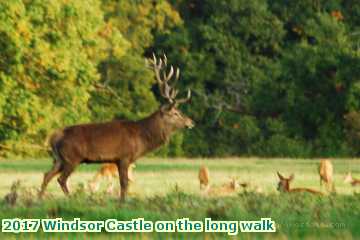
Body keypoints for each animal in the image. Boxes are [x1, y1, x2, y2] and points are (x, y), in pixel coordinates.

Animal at [39, 54, 194, 201]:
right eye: (175, 113)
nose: (191, 122)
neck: (142, 137)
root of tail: (54, 137)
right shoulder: (124, 157)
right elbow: (124, 183)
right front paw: (122, 203)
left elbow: (124, 183)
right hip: (72, 158)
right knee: (61, 179)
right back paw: (71, 198)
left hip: (59, 159)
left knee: (47, 175)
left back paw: (39, 199)